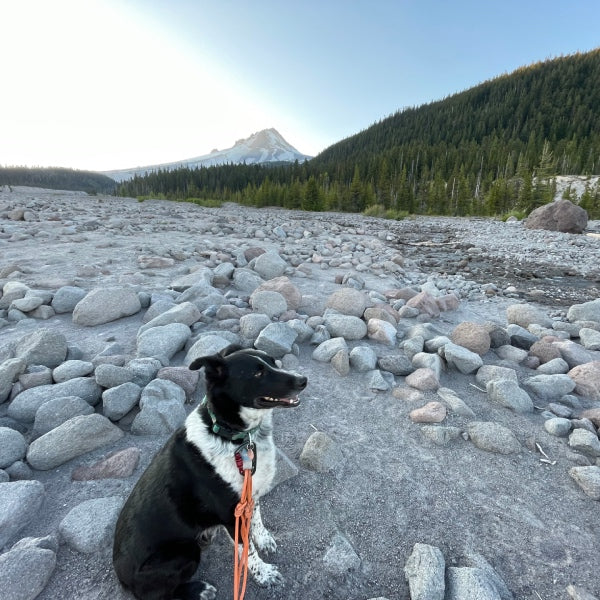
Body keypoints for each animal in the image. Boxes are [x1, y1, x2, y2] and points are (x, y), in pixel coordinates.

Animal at [112, 346, 308, 600]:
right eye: (258, 373)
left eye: (273, 362)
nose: (303, 380)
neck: (232, 436)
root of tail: (123, 578)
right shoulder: (231, 514)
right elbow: (247, 550)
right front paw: (263, 574)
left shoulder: (249, 493)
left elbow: (257, 519)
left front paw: (263, 539)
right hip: (185, 551)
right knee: (158, 595)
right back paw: (199, 589)